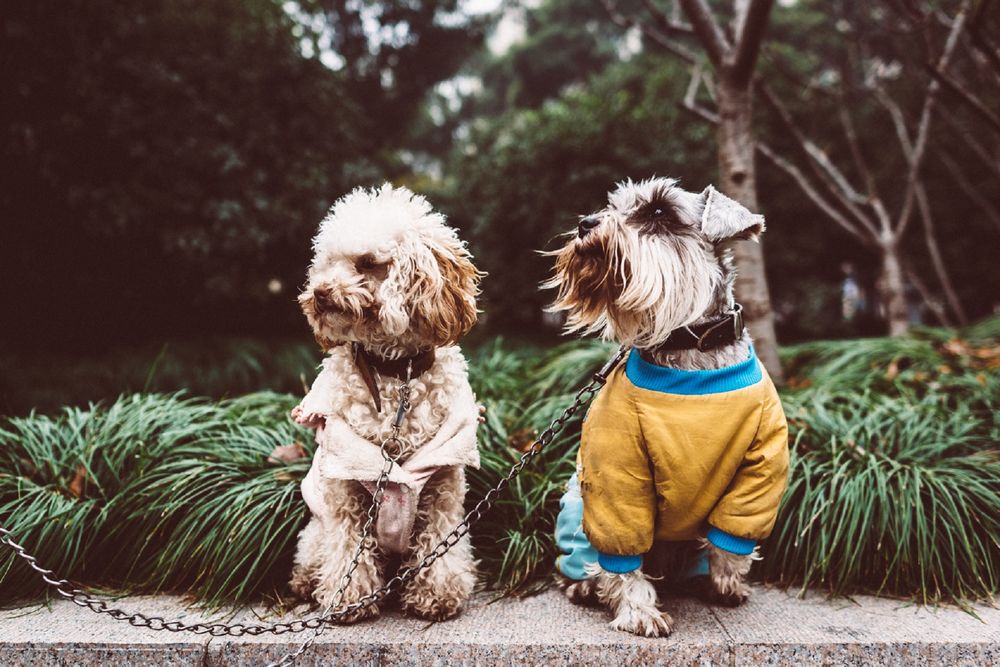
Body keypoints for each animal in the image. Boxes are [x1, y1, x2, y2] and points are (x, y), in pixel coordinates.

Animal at [548, 176, 788, 636]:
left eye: (658, 211)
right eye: (613, 205)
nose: (586, 223)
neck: (691, 346)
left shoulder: (758, 470)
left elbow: (731, 538)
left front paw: (726, 584)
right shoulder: (618, 475)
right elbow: (622, 556)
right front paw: (639, 611)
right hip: (576, 508)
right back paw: (583, 585)